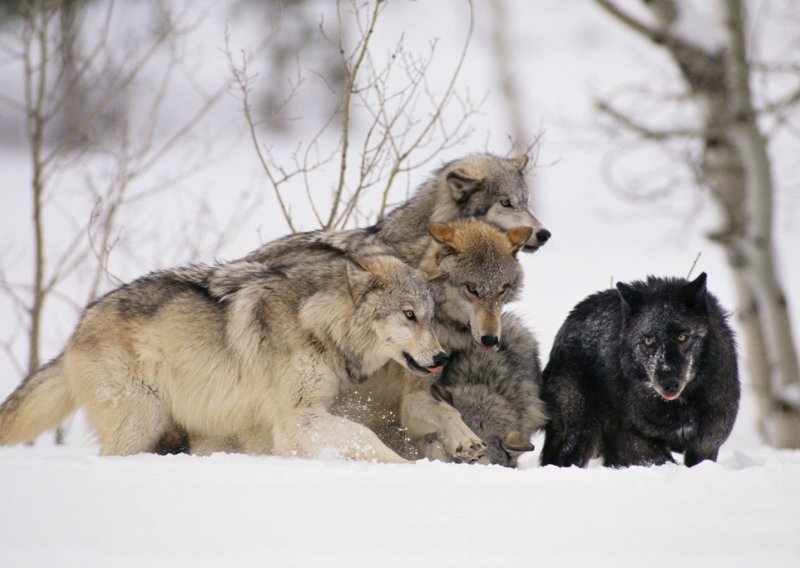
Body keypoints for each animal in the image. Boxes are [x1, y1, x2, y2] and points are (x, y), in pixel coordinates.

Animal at [0, 252, 444, 462]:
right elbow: (367, 437)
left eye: (431, 317)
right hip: (141, 422)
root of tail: (75, 334)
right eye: (409, 315)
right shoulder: (298, 418)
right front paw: (406, 469)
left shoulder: (270, 428)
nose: (441, 357)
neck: (316, 322)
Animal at [540, 272, 740, 468]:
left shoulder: (705, 445)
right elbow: (662, 460)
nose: (669, 384)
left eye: (682, 337)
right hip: (580, 430)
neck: (678, 406)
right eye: (648, 341)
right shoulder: (630, 438)